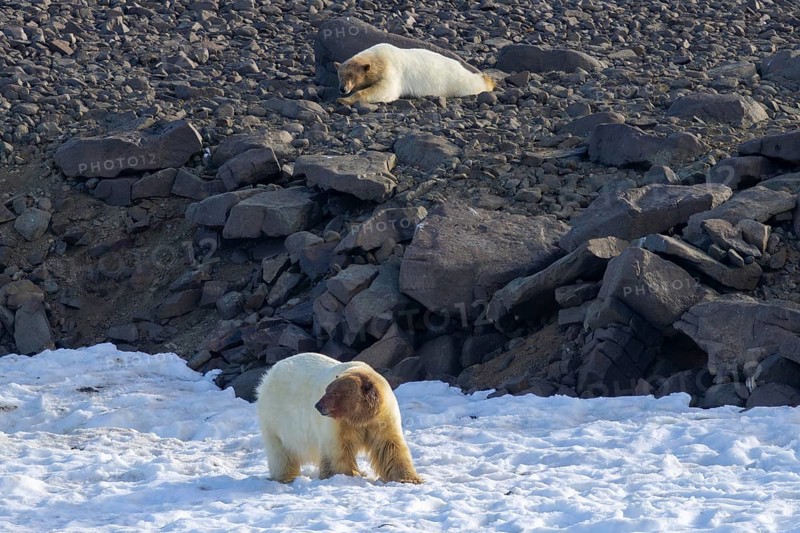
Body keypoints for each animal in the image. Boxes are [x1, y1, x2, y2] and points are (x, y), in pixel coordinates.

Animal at [255, 352, 422, 484]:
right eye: (327, 390)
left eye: (335, 393)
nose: (318, 406)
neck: (360, 417)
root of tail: (270, 373)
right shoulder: (338, 424)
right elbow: (338, 448)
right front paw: (347, 475)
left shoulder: (381, 419)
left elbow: (389, 446)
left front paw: (410, 479)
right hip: (274, 418)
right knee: (279, 451)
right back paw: (285, 477)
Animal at [334, 42, 494, 105]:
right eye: (340, 75)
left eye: (351, 76)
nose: (342, 89)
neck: (378, 58)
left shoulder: (391, 70)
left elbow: (385, 90)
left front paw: (344, 100)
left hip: (459, 82)